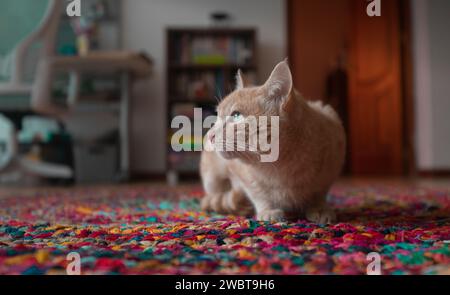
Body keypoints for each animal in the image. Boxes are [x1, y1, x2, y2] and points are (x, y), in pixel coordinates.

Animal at [200, 60, 344, 224]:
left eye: (236, 115)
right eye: (217, 116)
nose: (210, 135)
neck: (280, 167)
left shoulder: (331, 165)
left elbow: (319, 193)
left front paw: (319, 208)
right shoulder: (242, 176)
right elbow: (258, 194)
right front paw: (268, 210)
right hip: (212, 178)